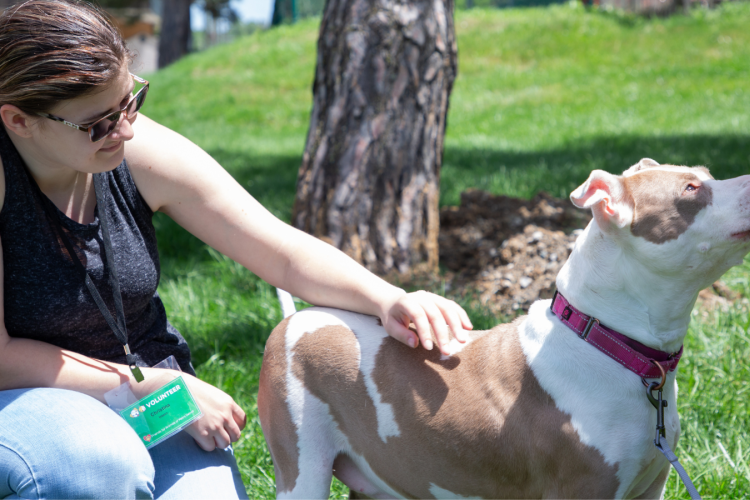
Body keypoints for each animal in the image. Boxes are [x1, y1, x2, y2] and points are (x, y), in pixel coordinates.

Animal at [258, 161, 750, 500]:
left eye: (706, 174)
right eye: (691, 189)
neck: (611, 345)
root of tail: (294, 319)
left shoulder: (651, 485)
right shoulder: (583, 489)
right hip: (302, 468)